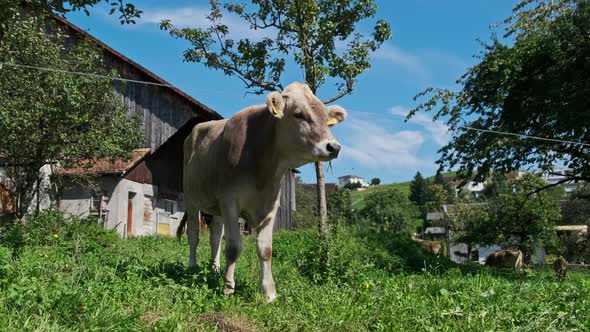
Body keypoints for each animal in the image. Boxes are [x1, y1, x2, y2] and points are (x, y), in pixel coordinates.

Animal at [179, 81, 346, 302]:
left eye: (327, 118)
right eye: (299, 114)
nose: (333, 147)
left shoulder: (270, 204)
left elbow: (265, 249)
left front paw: (269, 292)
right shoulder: (230, 201)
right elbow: (233, 247)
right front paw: (228, 288)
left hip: (217, 208)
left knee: (214, 236)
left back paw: (215, 269)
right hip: (191, 198)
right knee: (194, 233)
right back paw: (192, 267)